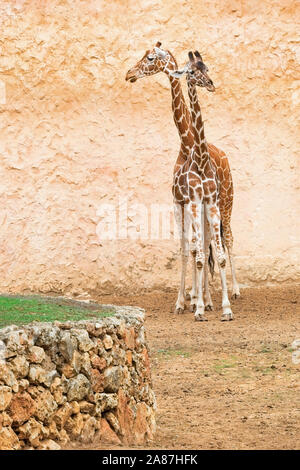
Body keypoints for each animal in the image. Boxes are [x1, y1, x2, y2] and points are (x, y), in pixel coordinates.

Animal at [125, 43, 239, 316]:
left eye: (150, 58)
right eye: (193, 71)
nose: (129, 73)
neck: (188, 147)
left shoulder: (203, 202)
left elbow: (204, 250)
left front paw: (203, 301)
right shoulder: (184, 202)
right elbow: (191, 250)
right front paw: (189, 301)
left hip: (227, 201)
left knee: (227, 240)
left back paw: (232, 292)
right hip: (203, 207)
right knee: (201, 247)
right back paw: (199, 299)